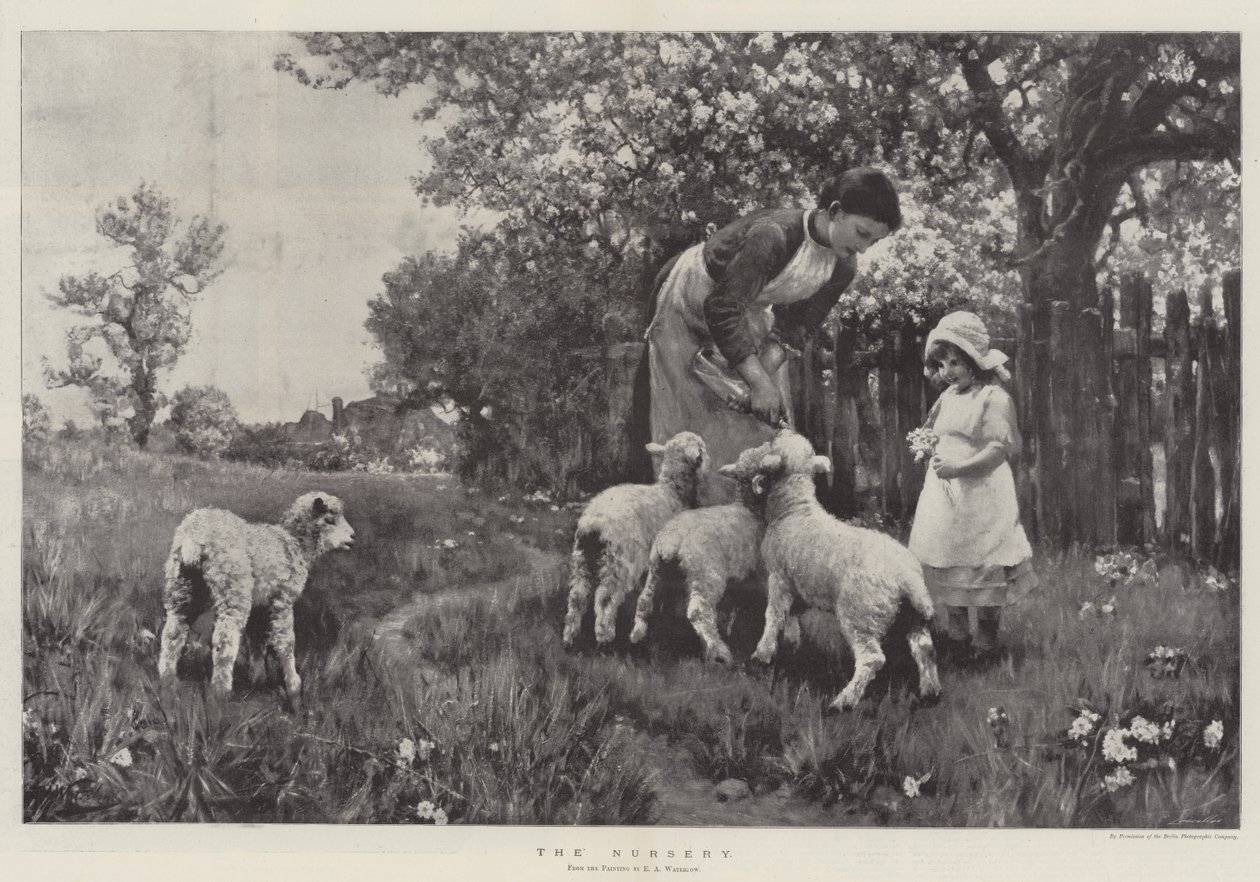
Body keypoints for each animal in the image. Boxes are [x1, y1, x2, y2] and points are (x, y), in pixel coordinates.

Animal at [158, 493, 355, 705]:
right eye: (329, 520)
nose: (353, 537)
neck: (295, 543)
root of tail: (193, 538)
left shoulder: (260, 605)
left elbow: (257, 641)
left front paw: (258, 679)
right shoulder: (282, 600)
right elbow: (286, 642)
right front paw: (293, 686)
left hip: (183, 587)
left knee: (173, 631)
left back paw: (167, 680)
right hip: (233, 587)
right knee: (224, 639)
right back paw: (221, 692)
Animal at [561, 433, 710, 650]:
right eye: (702, 449)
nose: (707, 461)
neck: (672, 492)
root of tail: (593, 524)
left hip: (582, 559)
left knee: (577, 598)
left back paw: (569, 638)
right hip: (618, 562)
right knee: (605, 598)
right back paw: (604, 638)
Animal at [740, 430, 942, 715]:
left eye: (774, 445)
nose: (782, 429)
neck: (795, 509)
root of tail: (908, 577)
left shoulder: (778, 577)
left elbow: (774, 614)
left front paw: (763, 653)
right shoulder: (799, 583)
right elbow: (792, 613)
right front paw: (792, 642)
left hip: (860, 615)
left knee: (872, 659)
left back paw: (843, 701)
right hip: (910, 614)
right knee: (925, 649)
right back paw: (930, 692)